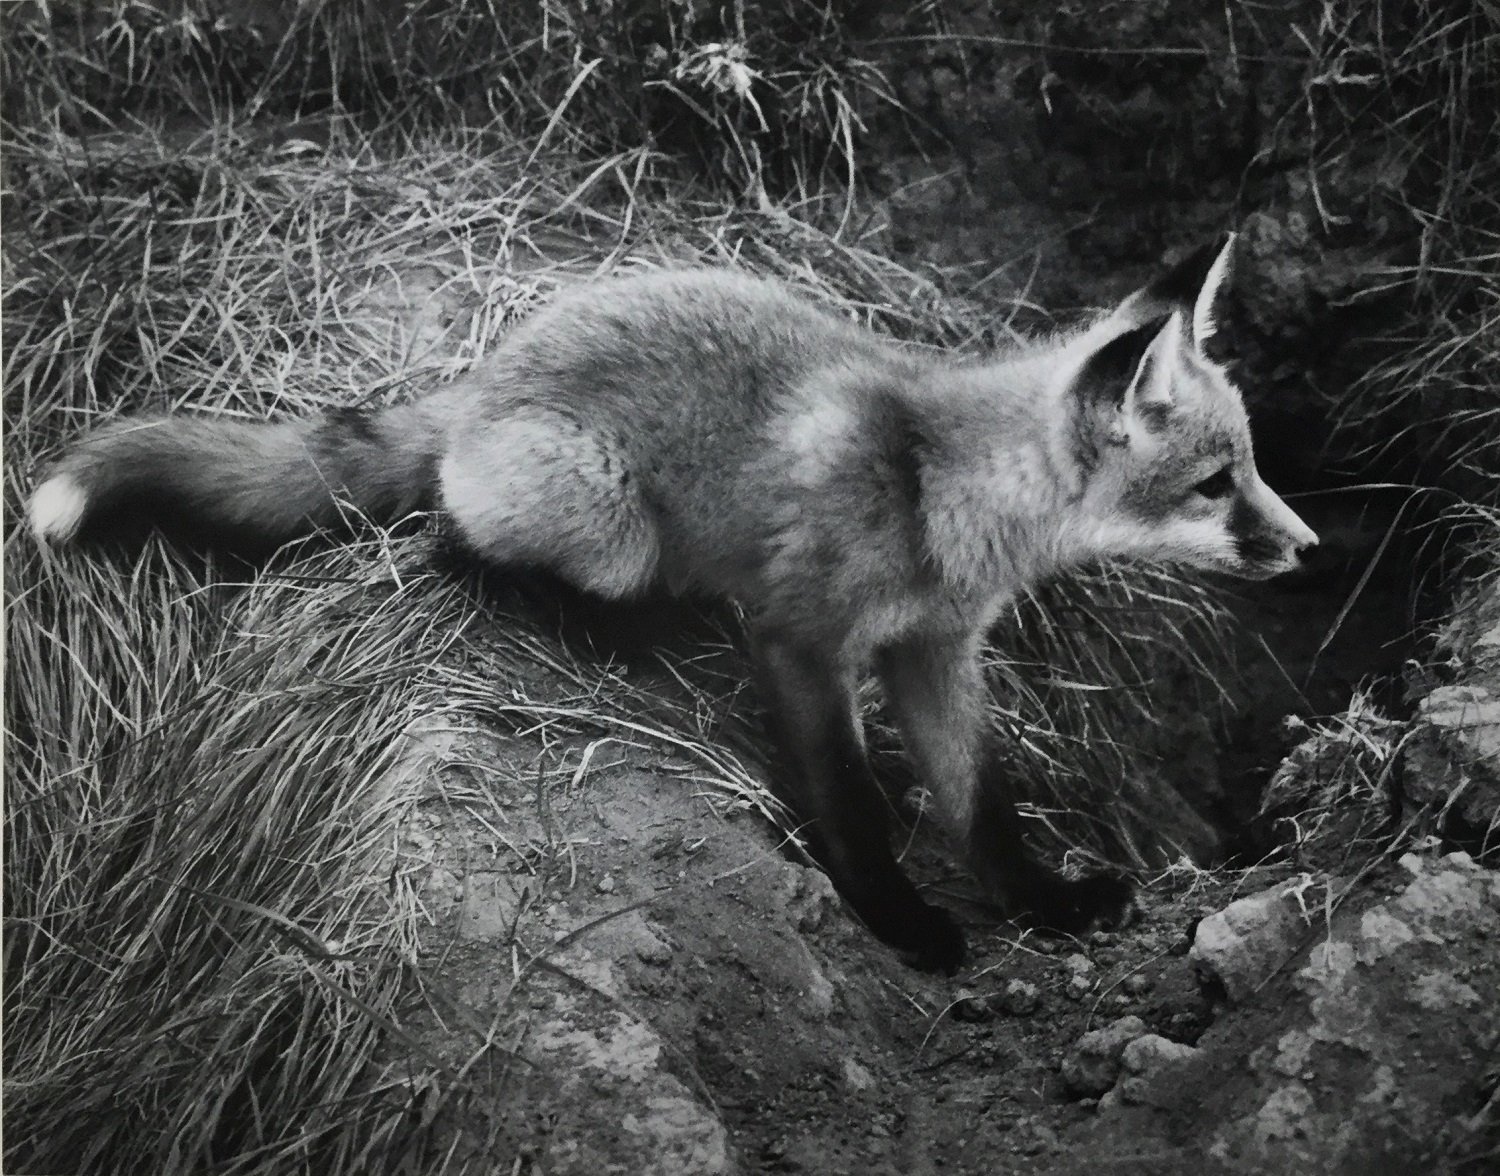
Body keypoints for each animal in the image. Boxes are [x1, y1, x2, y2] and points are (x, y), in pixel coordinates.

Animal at [29, 232, 1317, 972]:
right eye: (1215, 485)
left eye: (1254, 462)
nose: (1304, 548)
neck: (930, 491)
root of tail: (481, 375)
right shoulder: (804, 640)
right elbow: (852, 805)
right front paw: (900, 924)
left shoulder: (938, 652)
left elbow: (981, 803)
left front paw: (1042, 904)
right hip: (605, 515)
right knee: (447, 537)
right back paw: (603, 623)